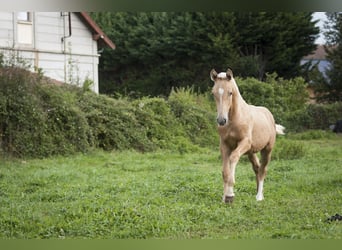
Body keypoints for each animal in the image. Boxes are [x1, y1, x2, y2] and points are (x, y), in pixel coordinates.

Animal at [210, 68, 284, 203]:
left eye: (230, 93)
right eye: (213, 93)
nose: (221, 120)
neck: (234, 119)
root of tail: (269, 115)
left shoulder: (244, 142)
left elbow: (233, 158)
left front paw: (230, 195)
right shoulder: (224, 145)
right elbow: (225, 171)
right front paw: (224, 198)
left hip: (267, 149)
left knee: (263, 169)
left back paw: (259, 197)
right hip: (251, 152)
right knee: (257, 168)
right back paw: (259, 193)